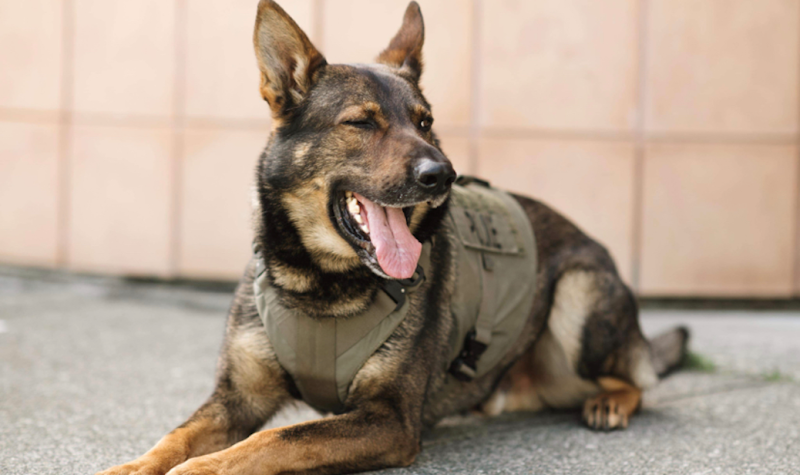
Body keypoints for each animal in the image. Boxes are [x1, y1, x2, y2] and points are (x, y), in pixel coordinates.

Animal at [98, 1, 688, 474]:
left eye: (425, 122)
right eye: (362, 123)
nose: (443, 174)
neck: (320, 284)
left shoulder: (390, 420)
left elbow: (277, 438)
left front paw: (205, 468)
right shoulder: (234, 399)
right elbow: (173, 438)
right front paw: (132, 467)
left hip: (578, 295)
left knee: (638, 380)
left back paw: (612, 402)